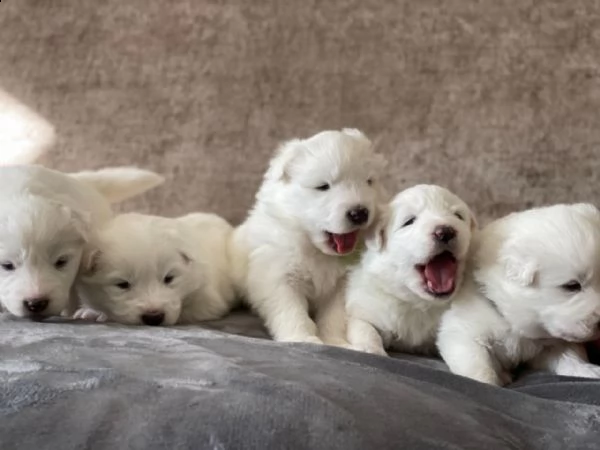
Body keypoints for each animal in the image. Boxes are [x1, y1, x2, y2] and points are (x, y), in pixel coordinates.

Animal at [76, 213, 240, 326]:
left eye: (169, 278)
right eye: (122, 284)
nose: (154, 317)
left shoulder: (208, 302)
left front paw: (103, 316)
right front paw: (90, 312)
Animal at [232, 128, 386, 346]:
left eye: (368, 181)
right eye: (323, 186)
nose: (360, 213)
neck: (317, 250)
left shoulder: (342, 285)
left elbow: (334, 316)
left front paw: (335, 341)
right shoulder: (279, 275)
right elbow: (291, 310)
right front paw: (302, 338)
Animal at [344, 185, 476, 356]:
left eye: (458, 216)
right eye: (409, 221)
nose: (446, 231)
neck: (418, 303)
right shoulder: (366, 307)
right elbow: (365, 328)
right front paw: (372, 349)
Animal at [436, 202, 600, 384]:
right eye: (572, 286)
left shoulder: (552, 343)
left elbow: (570, 356)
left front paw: (589, 371)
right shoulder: (464, 333)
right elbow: (479, 369)